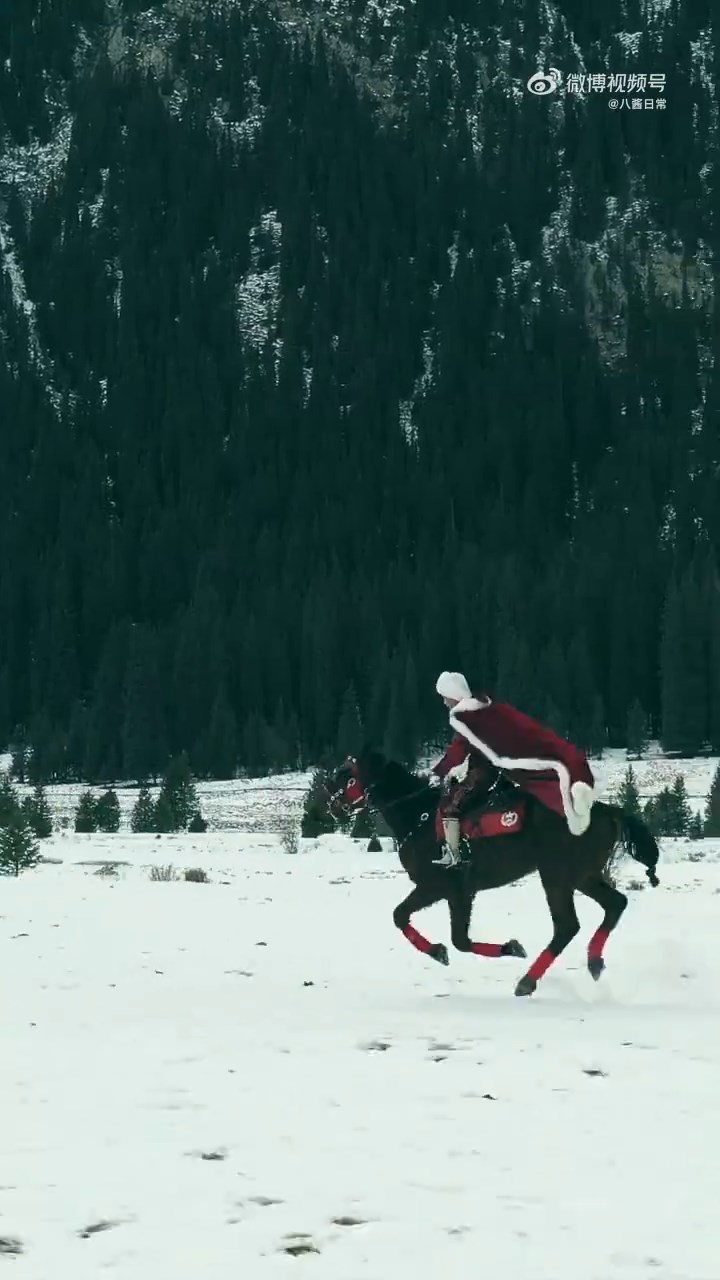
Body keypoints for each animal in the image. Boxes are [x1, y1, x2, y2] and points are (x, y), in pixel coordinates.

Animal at [326, 747, 660, 997]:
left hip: (557, 875)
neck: (418, 816)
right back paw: (594, 961)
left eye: (347, 774)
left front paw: (438, 951)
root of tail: (607, 810)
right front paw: (509, 947)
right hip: (584, 875)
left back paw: (527, 982)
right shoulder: (461, 893)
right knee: (615, 904)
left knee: (567, 926)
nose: (330, 804)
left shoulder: (437, 886)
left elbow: (403, 917)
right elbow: (458, 939)